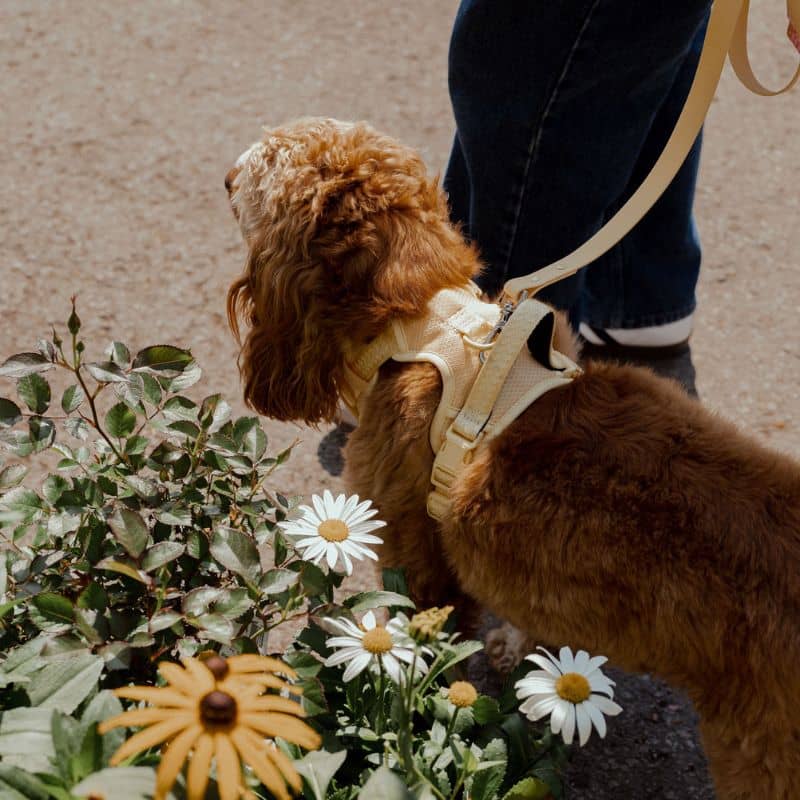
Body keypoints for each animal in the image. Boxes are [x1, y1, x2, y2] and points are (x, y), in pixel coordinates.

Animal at [225, 115, 800, 796]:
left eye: (265, 162)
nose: (226, 177)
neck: (424, 319)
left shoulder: (417, 553)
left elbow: (432, 643)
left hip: (763, 753)